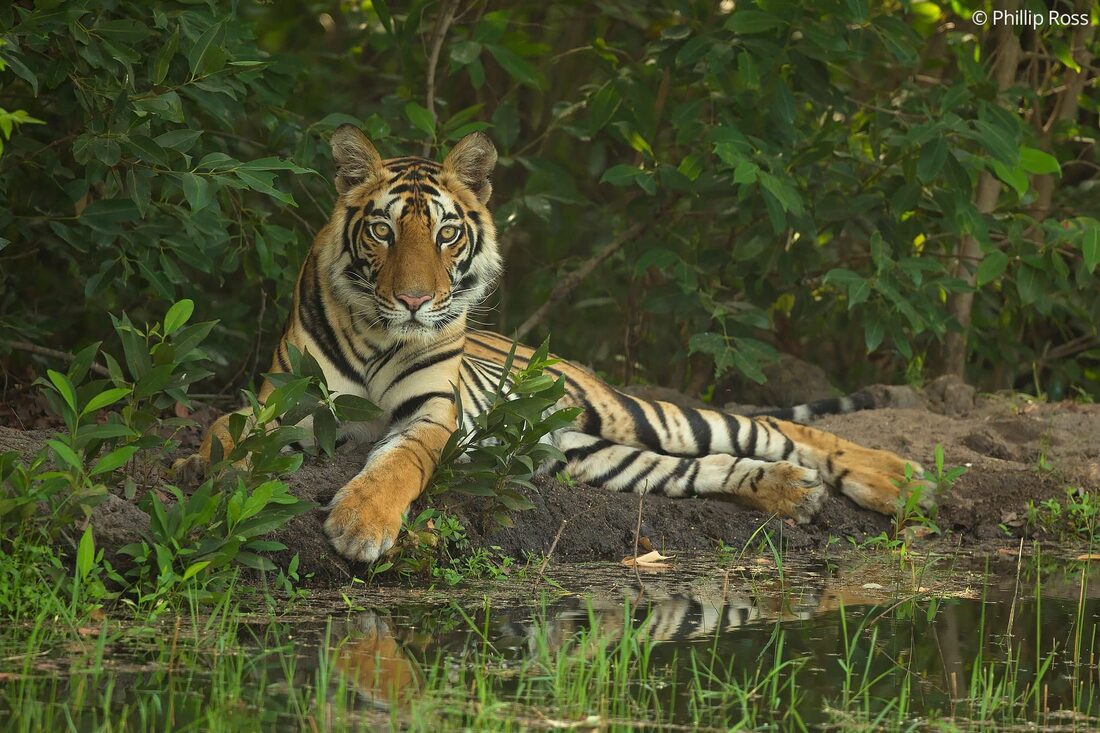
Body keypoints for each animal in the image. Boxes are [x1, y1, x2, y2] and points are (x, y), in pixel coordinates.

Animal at [178, 123, 930, 564]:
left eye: (446, 233)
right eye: (383, 232)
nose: (416, 299)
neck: (375, 330)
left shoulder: (430, 413)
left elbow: (398, 465)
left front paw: (360, 523)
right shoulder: (282, 400)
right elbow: (227, 429)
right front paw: (210, 468)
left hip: (638, 413)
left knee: (775, 428)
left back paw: (897, 479)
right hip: (594, 456)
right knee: (707, 467)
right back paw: (790, 492)